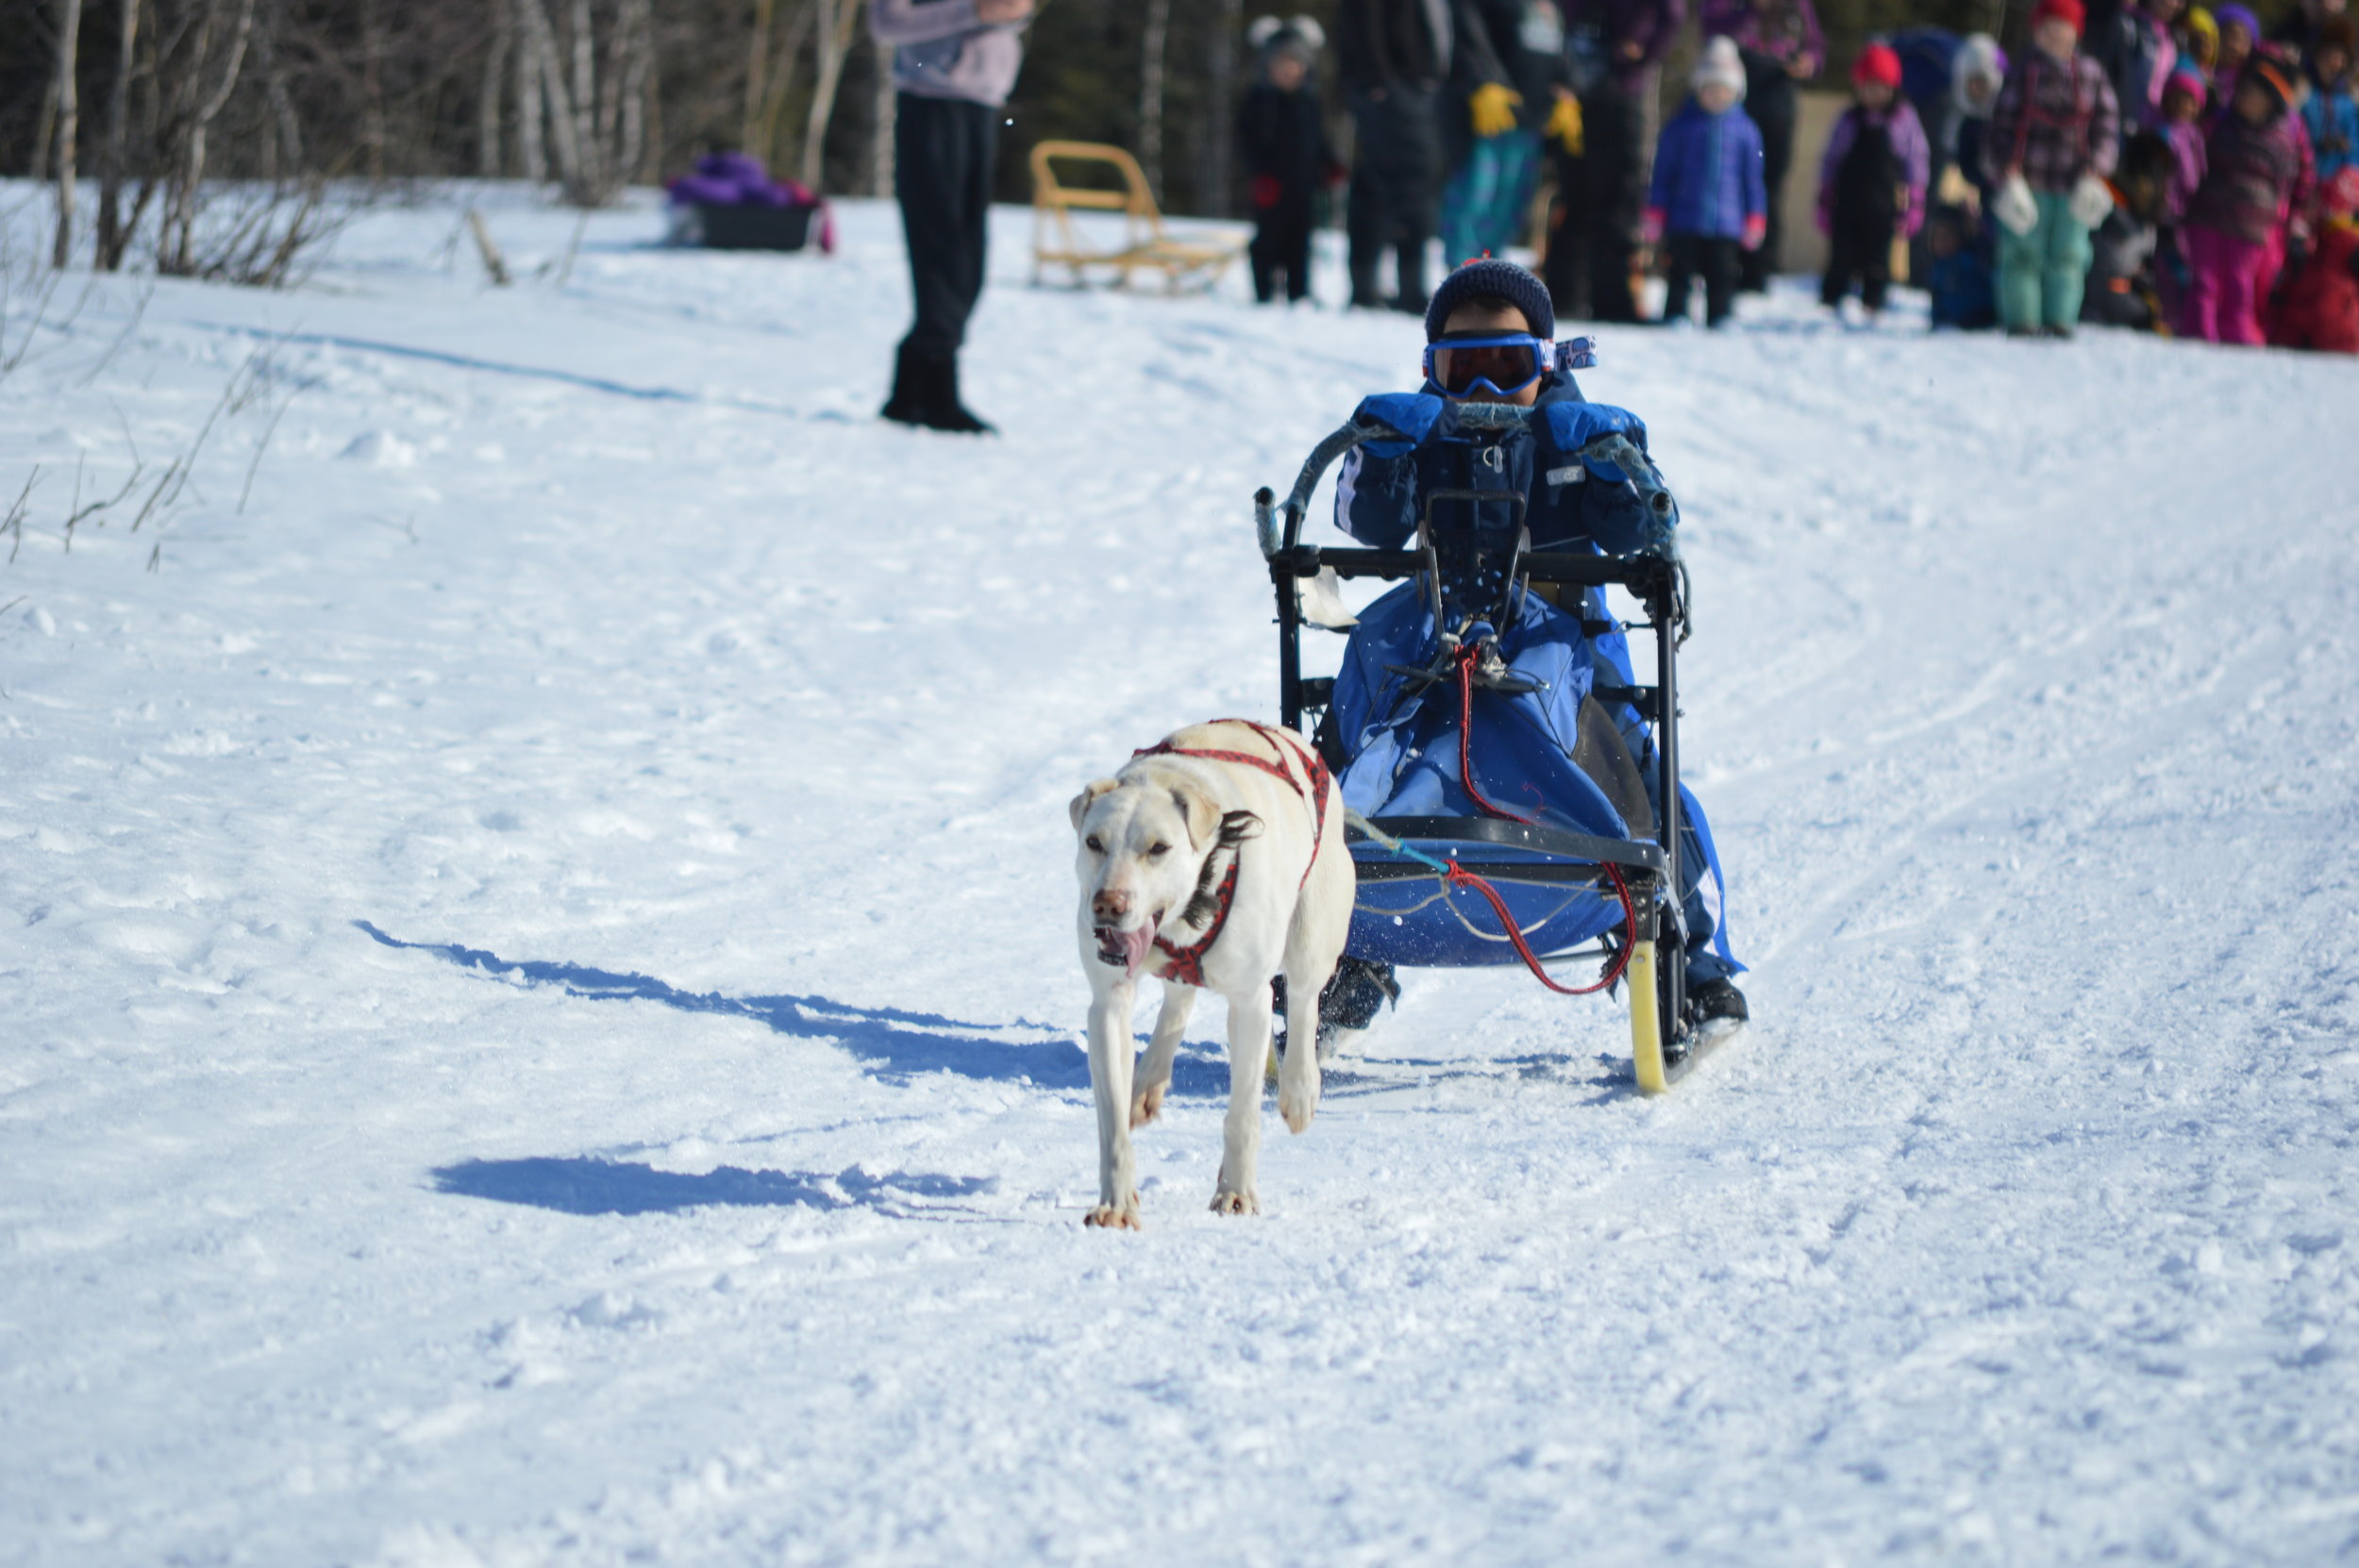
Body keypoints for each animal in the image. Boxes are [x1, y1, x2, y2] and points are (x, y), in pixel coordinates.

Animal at [1066, 716, 1349, 1226]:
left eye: (1159, 847)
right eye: (1094, 842)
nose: (1108, 905)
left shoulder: (1251, 1001)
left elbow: (1242, 1114)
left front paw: (1236, 1191)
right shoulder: (1107, 1006)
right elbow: (1112, 1123)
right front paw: (1115, 1203)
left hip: (1311, 935)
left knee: (1303, 1004)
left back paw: (1299, 1090)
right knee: (1179, 1000)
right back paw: (1147, 1083)